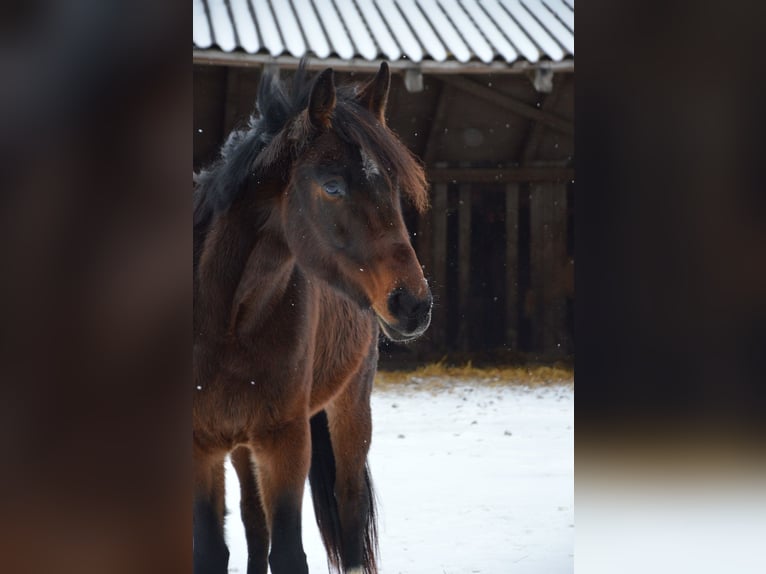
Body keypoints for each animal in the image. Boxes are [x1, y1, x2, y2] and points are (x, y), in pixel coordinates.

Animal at [192, 62, 432, 574]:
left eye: (393, 186)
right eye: (332, 186)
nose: (414, 304)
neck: (227, 322)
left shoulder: (286, 441)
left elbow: (288, 551)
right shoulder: (201, 448)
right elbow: (216, 549)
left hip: (349, 411)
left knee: (349, 508)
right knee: (252, 520)